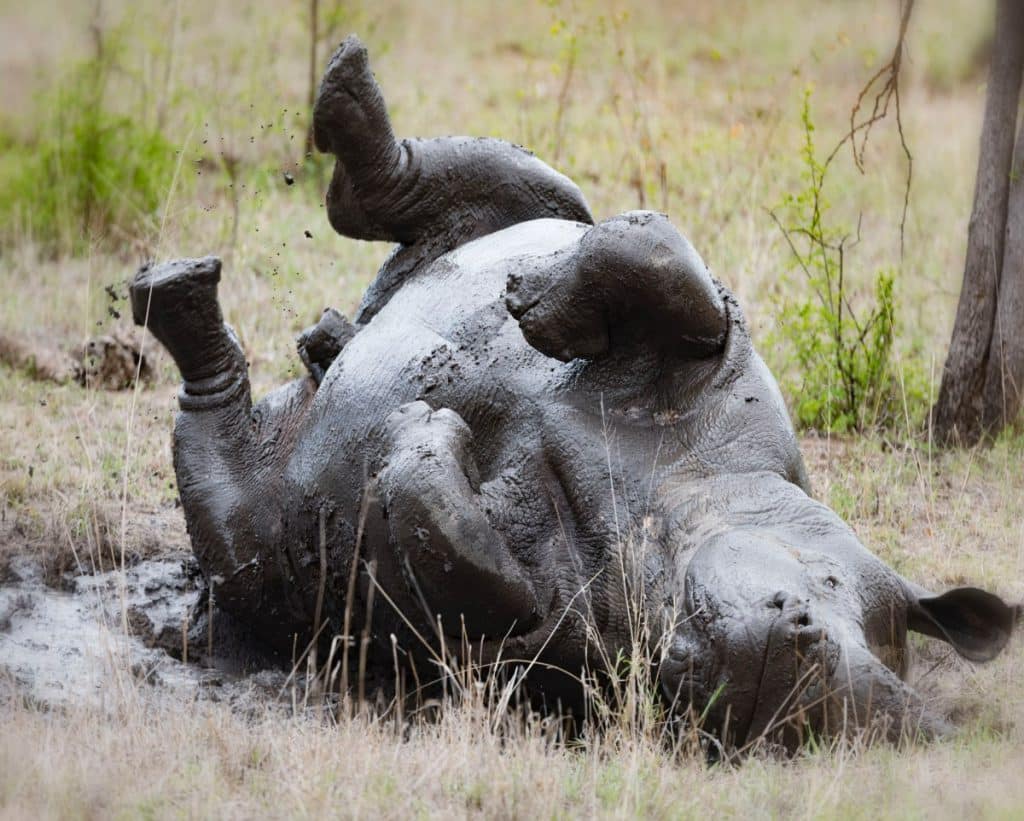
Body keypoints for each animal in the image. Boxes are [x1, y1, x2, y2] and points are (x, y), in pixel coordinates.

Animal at [131, 36, 1018, 748]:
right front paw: (536, 308)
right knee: (533, 191)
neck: (662, 511)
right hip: (501, 223)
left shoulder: (533, 644)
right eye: (827, 591)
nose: (784, 669)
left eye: (701, 708)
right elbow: (653, 251)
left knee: (236, 517)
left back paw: (209, 314)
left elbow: (454, 556)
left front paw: (424, 436)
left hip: (262, 537)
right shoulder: (720, 364)